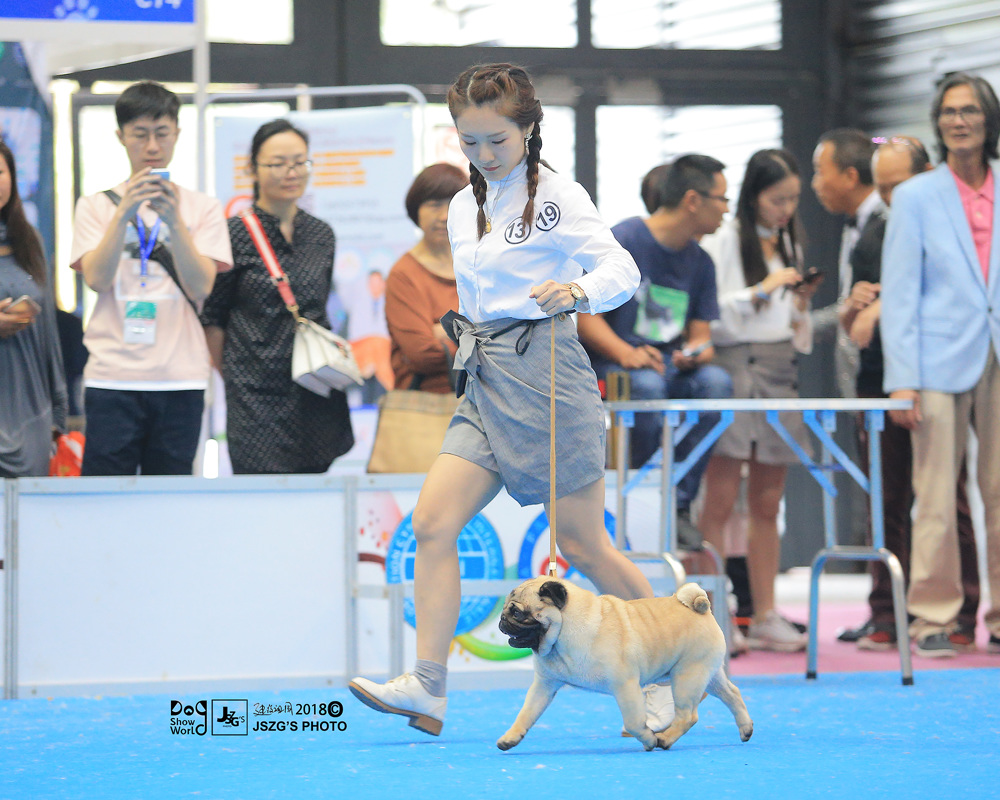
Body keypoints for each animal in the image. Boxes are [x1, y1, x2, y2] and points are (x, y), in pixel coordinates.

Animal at [496, 577, 753, 751]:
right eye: (505, 610)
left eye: (517, 613)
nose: (501, 620)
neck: (562, 635)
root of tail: (701, 608)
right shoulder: (544, 685)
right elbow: (526, 713)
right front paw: (511, 737)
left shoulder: (625, 685)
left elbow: (633, 722)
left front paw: (649, 740)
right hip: (708, 674)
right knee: (732, 693)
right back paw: (746, 728)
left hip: (687, 676)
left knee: (688, 716)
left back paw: (664, 739)